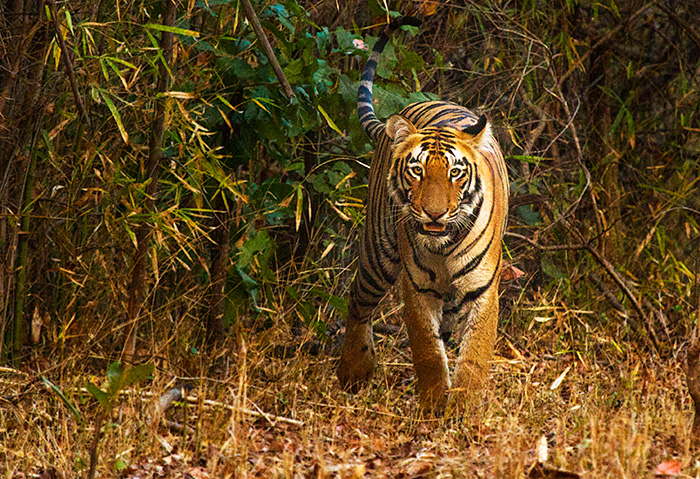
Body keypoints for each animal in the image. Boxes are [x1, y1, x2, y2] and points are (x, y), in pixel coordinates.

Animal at [334, 16, 508, 410]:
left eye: (456, 172)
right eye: (417, 170)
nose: (434, 214)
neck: (443, 246)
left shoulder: (482, 290)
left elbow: (474, 355)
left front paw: (464, 408)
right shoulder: (416, 287)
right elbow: (428, 351)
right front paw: (432, 405)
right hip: (379, 252)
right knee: (359, 301)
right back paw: (354, 371)